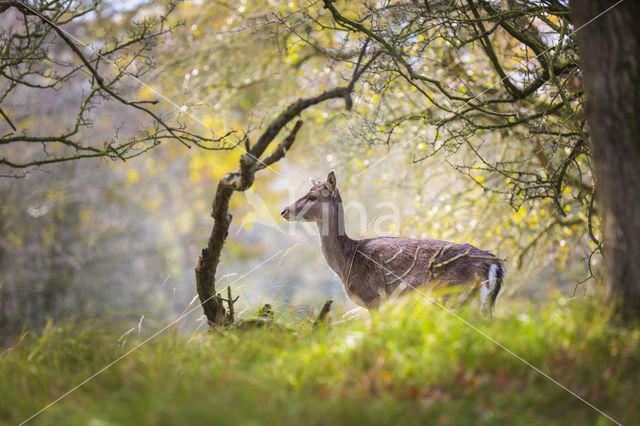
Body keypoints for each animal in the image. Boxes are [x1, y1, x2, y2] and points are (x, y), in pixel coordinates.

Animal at [280, 171, 504, 314]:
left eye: (312, 196)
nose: (283, 211)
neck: (347, 261)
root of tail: (495, 264)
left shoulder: (373, 298)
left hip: (457, 295)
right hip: (483, 303)